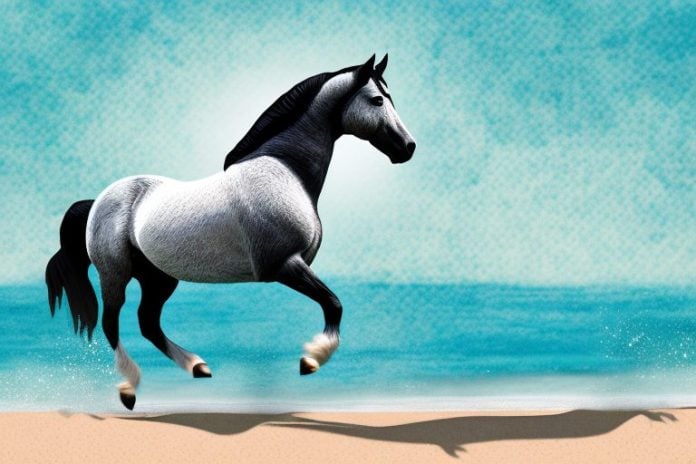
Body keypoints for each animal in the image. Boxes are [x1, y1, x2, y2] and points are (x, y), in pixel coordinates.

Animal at [45, 54, 416, 410]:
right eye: (377, 100)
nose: (407, 147)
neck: (285, 173)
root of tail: (97, 202)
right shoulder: (285, 265)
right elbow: (334, 304)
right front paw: (311, 360)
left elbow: (333, 305)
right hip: (115, 274)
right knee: (112, 323)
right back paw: (129, 390)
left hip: (159, 278)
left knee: (148, 322)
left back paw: (197, 367)